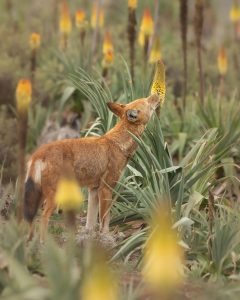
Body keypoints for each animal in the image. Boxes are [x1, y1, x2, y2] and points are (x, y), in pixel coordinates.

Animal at [23, 95, 159, 243]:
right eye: (147, 101)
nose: (156, 95)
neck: (118, 145)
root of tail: (39, 152)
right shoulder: (105, 189)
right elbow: (105, 220)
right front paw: (106, 238)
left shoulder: (93, 190)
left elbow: (90, 223)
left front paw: (88, 238)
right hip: (53, 196)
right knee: (43, 217)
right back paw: (44, 244)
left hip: (41, 196)